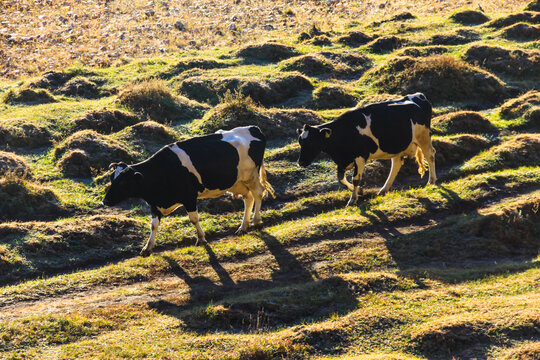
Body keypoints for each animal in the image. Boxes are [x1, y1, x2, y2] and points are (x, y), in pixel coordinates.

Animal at [103, 126, 274, 256]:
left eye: (122, 181)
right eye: (111, 178)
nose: (104, 201)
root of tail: (253, 128)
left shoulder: (189, 197)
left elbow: (194, 219)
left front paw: (201, 239)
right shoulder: (155, 204)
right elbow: (153, 225)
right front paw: (147, 248)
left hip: (251, 176)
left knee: (258, 193)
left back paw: (256, 221)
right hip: (238, 182)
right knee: (248, 198)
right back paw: (243, 227)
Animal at [298, 92, 436, 205]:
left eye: (312, 142)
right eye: (300, 142)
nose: (300, 162)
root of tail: (418, 96)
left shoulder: (360, 157)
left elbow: (355, 179)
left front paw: (353, 199)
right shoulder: (343, 160)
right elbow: (341, 179)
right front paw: (360, 191)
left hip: (423, 136)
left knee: (430, 155)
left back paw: (431, 181)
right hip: (398, 145)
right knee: (396, 163)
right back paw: (384, 189)